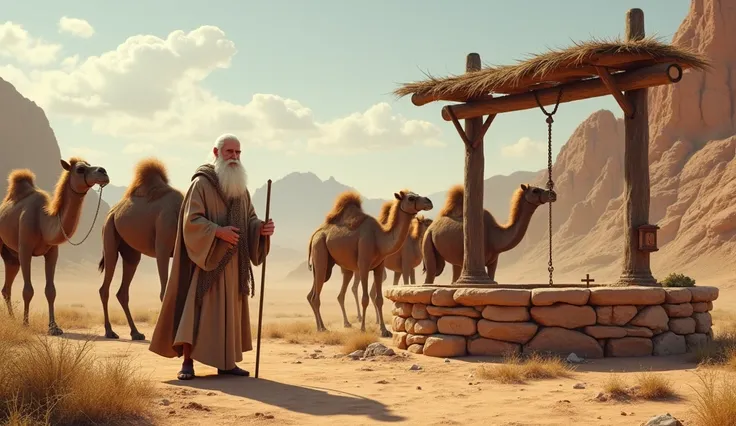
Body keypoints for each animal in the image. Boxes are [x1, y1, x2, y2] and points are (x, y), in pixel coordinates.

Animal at [0, 158, 110, 334]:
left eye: (89, 164)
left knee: (6, 287)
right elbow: (27, 290)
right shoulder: (25, 249)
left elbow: (51, 291)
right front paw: (26, 324)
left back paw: (12, 319)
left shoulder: (52, 251)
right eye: (80, 169)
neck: (42, 221)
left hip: (11, 255)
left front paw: (54, 327)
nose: (103, 172)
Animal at [97, 158, 183, 342]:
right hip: (109, 233)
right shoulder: (163, 248)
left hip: (131, 252)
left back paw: (136, 333)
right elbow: (165, 291)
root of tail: (112, 212)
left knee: (123, 291)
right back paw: (110, 331)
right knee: (105, 286)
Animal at [304, 190, 432, 336]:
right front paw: (363, 329)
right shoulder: (364, 265)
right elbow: (364, 299)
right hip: (320, 251)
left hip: (330, 267)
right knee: (316, 295)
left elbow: (379, 299)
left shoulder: (379, 267)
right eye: (411, 198)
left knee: (315, 294)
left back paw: (330, 325)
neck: (379, 239)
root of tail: (314, 235)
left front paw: (384, 330)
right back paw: (322, 328)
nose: (429, 201)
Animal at [420, 182, 556, 282]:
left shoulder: (493, 262)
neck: (495, 237)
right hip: (427, 241)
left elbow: (493, 277)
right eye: (535, 190)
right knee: (431, 274)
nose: (552, 193)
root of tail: (431, 227)